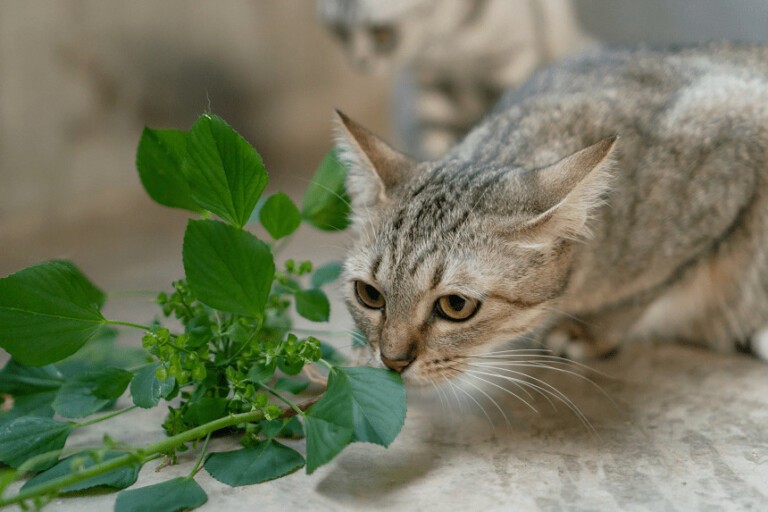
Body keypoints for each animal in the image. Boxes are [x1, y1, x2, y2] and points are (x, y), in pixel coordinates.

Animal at [316, 0, 592, 159]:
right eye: (340, 34)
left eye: (382, 34)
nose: (358, 62)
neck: (448, 39)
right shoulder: (432, 89)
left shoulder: (511, 63)